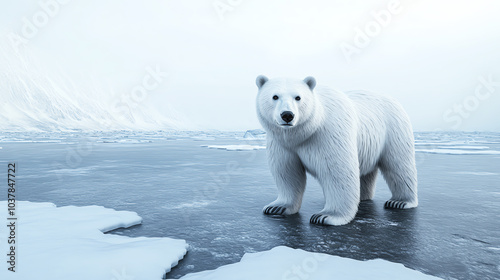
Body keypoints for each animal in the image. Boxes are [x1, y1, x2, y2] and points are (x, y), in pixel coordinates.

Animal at [256, 75, 416, 226]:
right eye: (275, 96)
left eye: (298, 97)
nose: (287, 115)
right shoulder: (282, 144)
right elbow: (287, 173)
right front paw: (277, 207)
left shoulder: (329, 135)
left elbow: (337, 173)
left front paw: (326, 216)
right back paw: (363, 196)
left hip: (393, 131)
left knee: (399, 166)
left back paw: (400, 201)